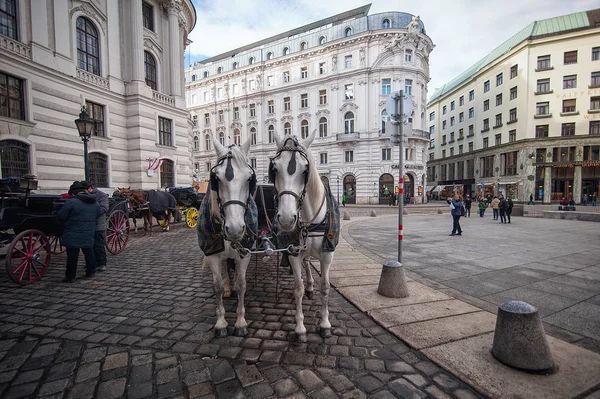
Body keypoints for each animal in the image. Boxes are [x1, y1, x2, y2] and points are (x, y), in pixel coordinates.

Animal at [196, 139, 254, 340]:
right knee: (224, 268)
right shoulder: (212, 253)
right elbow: (218, 286)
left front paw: (241, 321)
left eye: (249, 178)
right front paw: (221, 323)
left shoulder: (245, 253)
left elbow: (242, 285)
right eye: (217, 178)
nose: (235, 229)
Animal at [270, 132, 340, 344]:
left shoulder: (327, 254)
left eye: (305, 170)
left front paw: (325, 324)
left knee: (308, 262)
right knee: (306, 262)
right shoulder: (294, 253)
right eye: (274, 169)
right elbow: (298, 288)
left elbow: (325, 287)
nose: (286, 218)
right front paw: (300, 328)